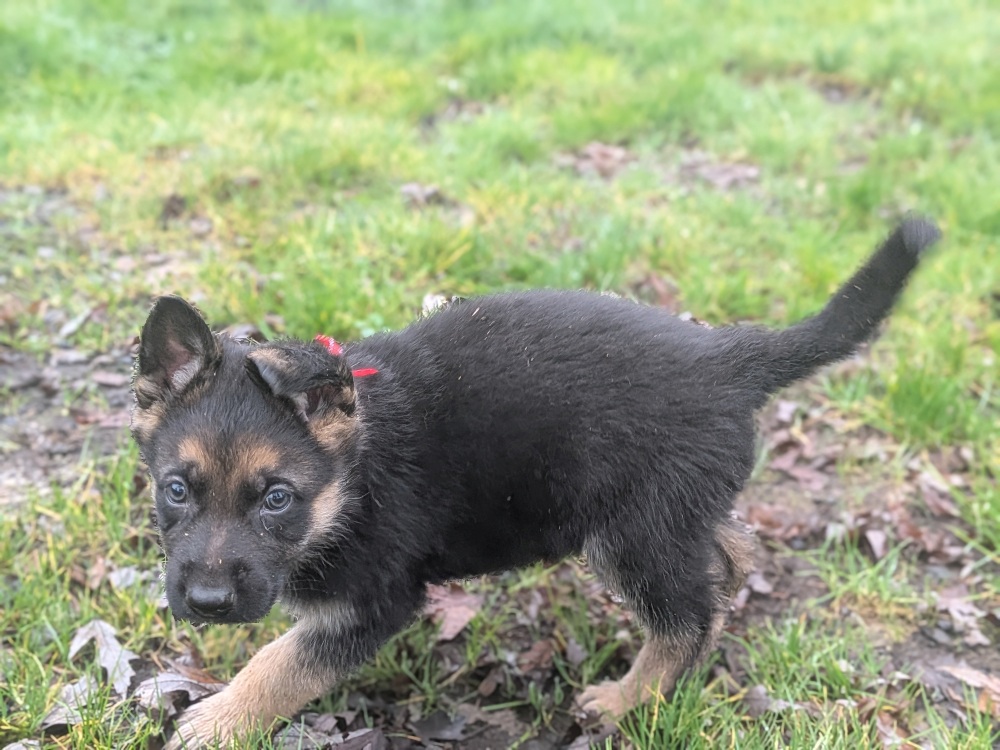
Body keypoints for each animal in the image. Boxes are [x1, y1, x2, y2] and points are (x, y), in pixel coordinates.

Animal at [130, 216, 941, 748]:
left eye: (277, 499)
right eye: (176, 490)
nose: (205, 604)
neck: (351, 478)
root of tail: (728, 356)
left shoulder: (374, 602)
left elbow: (283, 661)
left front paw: (220, 720)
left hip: (630, 533)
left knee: (688, 617)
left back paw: (624, 700)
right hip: (670, 515)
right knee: (724, 559)